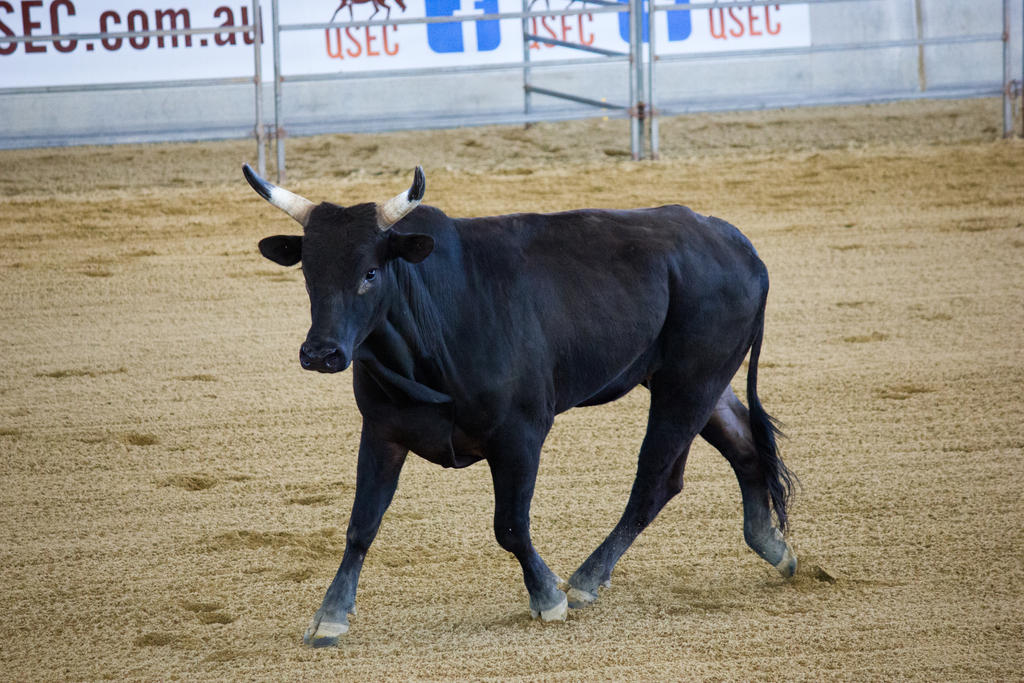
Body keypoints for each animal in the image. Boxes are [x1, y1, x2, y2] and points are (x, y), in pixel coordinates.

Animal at [243, 163, 794, 647]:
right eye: (309, 274)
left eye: (371, 272)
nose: (321, 353)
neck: (434, 324)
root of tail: (733, 240)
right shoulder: (382, 431)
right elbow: (362, 524)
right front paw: (331, 615)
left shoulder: (521, 434)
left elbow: (509, 525)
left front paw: (548, 596)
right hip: (697, 381)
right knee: (744, 447)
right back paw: (772, 544)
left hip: (689, 382)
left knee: (657, 476)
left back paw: (587, 578)